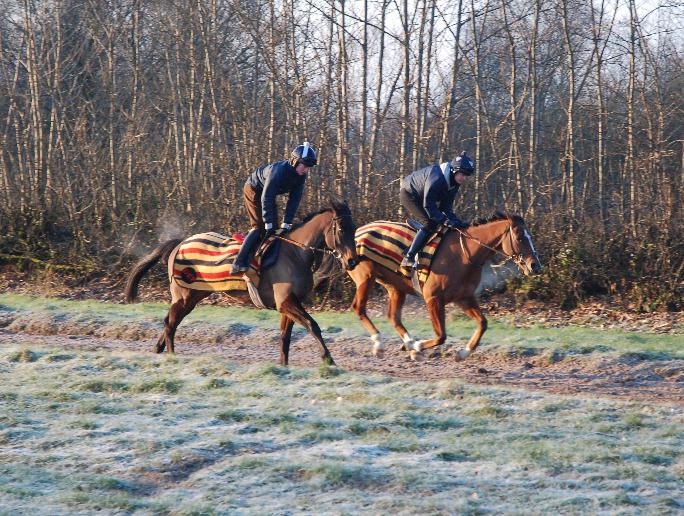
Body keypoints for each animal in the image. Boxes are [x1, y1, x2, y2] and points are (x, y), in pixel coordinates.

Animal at [124, 200, 358, 364]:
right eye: (341, 229)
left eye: (354, 228)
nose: (352, 261)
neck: (295, 253)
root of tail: (180, 243)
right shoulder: (286, 302)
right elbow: (312, 325)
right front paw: (329, 360)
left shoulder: (289, 304)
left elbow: (285, 337)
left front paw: (283, 365)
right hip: (183, 295)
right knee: (170, 323)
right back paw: (172, 355)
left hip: (193, 295)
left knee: (171, 321)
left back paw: (158, 350)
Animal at [350, 212, 544, 360]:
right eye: (519, 237)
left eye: (529, 236)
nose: (535, 265)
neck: (464, 255)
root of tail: (357, 231)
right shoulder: (433, 298)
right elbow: (441, 336)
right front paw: (418, 347)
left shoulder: (464, 297)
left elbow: (483, 323)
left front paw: (463, 353)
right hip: (365, 278)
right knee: (359, 308)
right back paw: (380, 344)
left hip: (395, 287)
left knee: (393, 316)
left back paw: (408, 343)